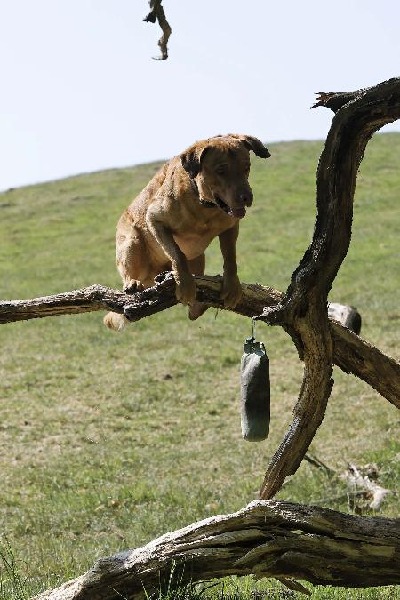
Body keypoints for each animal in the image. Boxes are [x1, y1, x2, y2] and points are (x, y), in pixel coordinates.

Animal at [104, 134, 270, 330]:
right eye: (221, 170)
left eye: (246, 167)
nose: (247, 197)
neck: (203, 205)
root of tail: (150, 278)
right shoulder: (154, 220)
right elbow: (178, 254)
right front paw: (184, 284)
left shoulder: (230, 227)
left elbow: (230, 258)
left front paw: (231, 286)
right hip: (132, 243)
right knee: (129, 272)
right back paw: (133, 283)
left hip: (198, 258)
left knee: (195, 308)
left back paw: (198, 305)